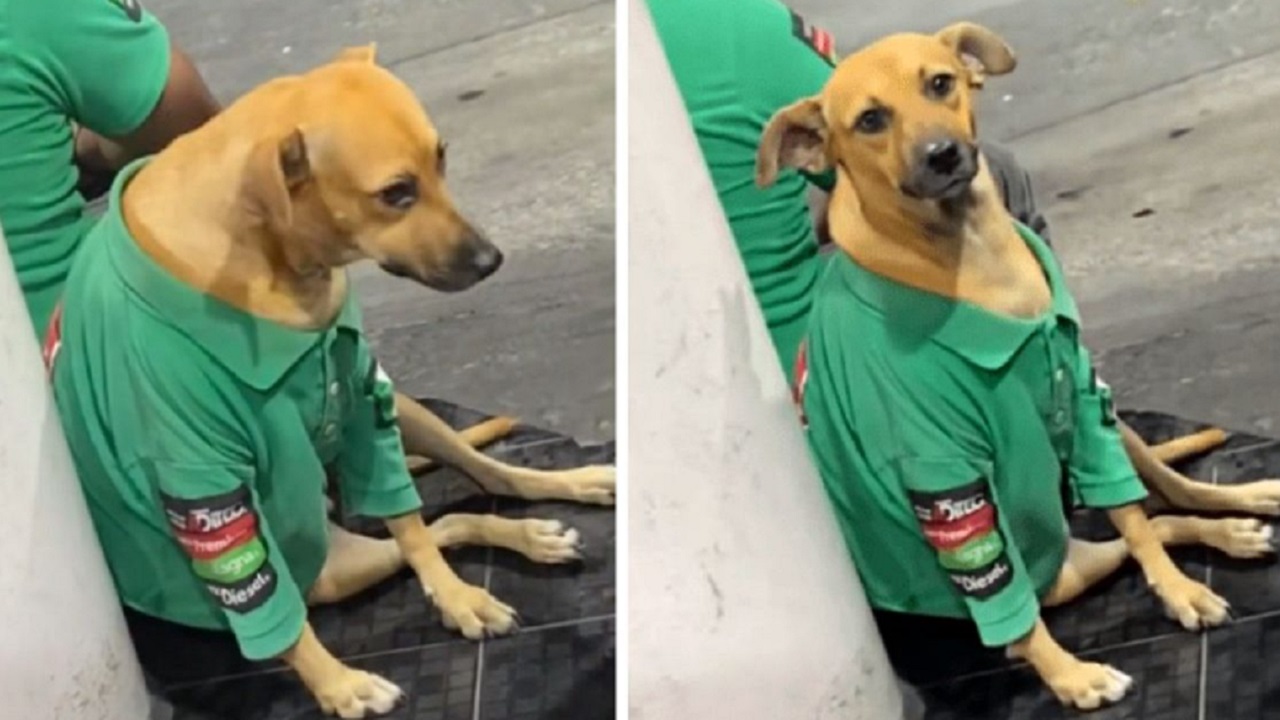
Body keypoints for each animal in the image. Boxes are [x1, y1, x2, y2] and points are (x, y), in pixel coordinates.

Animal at [61, 47, 614, 712]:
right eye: (396, 193)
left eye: (442, 158)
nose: (491, 261)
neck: (277, 260)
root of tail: (334, 501)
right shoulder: (202, 487)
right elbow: (276, 614)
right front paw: (338, 685)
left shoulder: (364, 400)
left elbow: (412, 525)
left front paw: (457, 598)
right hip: (330, 568)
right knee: (439, 528)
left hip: (409, 416)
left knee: (481, 485)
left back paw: (557, 501)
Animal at [752, 23, 1274, 712]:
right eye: (869, 120)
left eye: (939, 82)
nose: (943, 155)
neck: (976, 257)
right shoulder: (942, 478)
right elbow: (1012, 606)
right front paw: (1071, 676)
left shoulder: (1081, 400)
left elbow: (1135, 517)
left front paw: (1180, 591)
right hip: (1062, 571)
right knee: (1104, 555)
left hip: (1105, 439)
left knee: (1166, 499)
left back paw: (1238, 513)